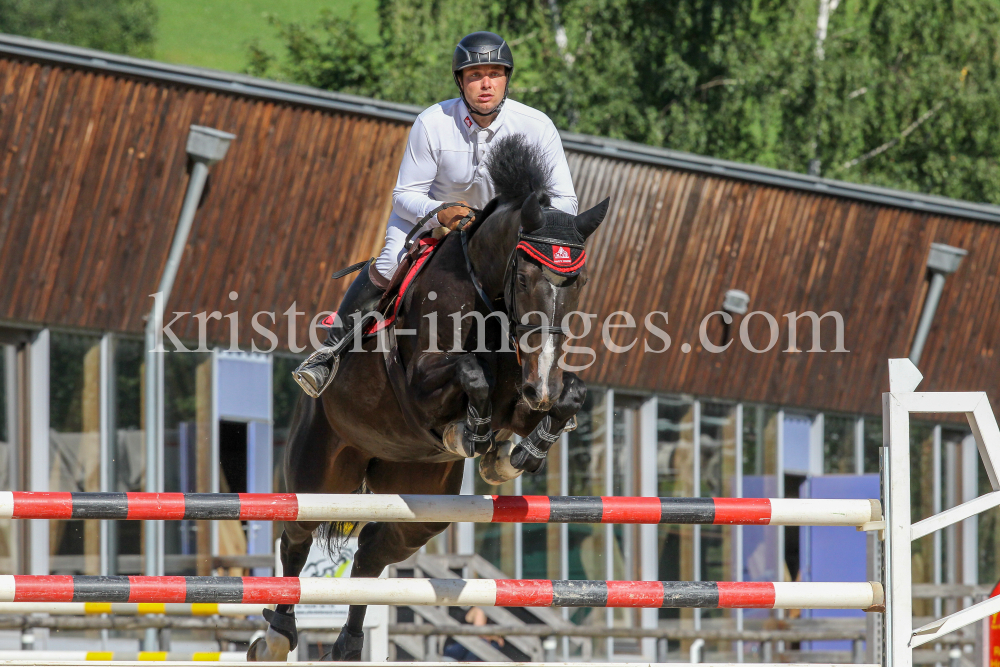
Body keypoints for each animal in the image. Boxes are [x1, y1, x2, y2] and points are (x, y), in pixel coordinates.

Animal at [249, 134, 608, 664]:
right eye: (523, 278)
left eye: (576, 283)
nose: (541, 382)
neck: (488, 302)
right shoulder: (420, 389)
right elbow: (472, 374)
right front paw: (473, 433)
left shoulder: (522, 400)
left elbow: (571, 396)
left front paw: (513, 456)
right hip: (319, 471)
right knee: (296, 536)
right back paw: (277, 635)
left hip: (422, 503)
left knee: (372, 553)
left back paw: (348, 644)